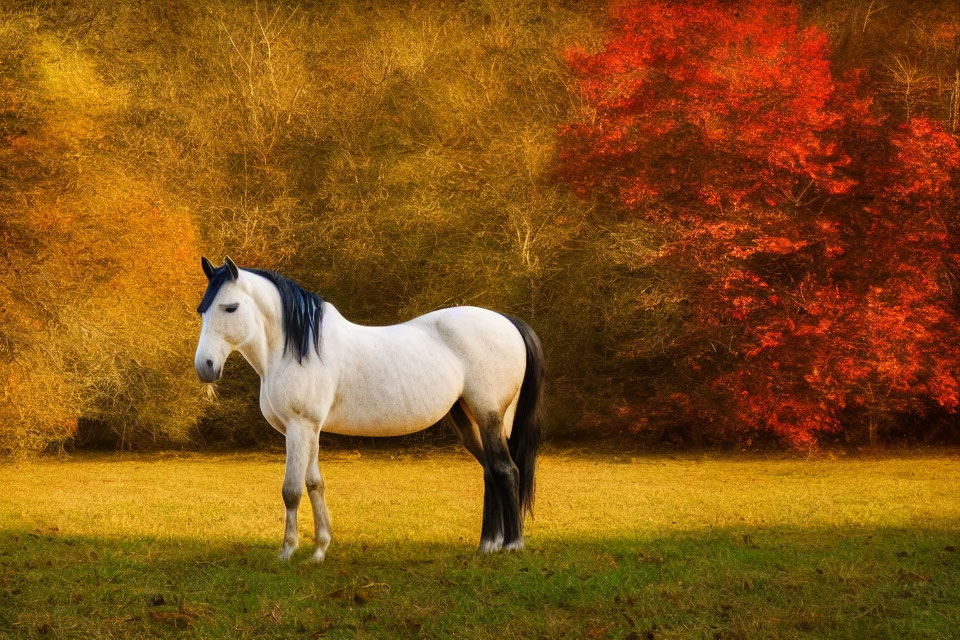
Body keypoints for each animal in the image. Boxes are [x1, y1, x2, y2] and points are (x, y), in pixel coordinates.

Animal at [191, 255, 544, 560]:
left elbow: (291, 489)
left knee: (506, 470)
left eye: (230, 307)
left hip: (490, 416)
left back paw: (512, 545)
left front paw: (288, 552)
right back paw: (488, 544)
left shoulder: (299, 426)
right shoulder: (310, 429)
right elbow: (314, 483)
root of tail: (508, 322)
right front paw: (319, 550)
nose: (205, 367)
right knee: (490, 472)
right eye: (202, 311)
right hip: (466, 418)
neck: (295, 349)